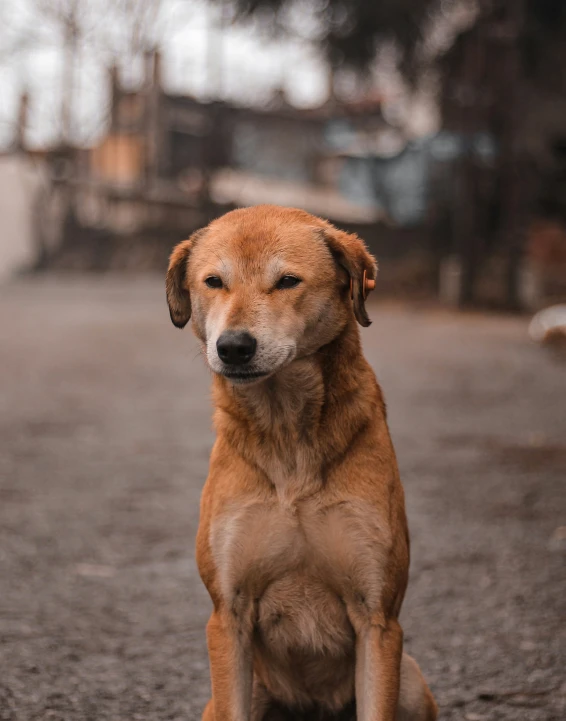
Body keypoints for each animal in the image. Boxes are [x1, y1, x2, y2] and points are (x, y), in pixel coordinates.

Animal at [165, 204, 440, 720]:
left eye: (288, 281)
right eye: (213, 281)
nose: (233, 347)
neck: (288, 431)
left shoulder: (378, 618)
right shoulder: (228, 615)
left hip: (411, 681)